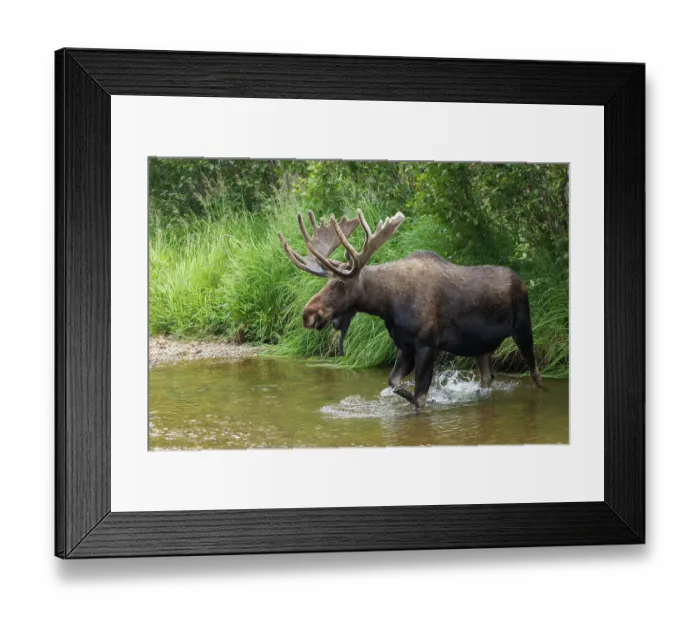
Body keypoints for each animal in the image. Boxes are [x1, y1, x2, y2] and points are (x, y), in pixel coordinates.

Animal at [278, 210, 544, 411]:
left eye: (340, 284)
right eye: (327, 282)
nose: (308, 314)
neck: (387, 305)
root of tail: (522, 282)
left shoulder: (427, 345)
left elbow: (419, 397)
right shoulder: (405, 346)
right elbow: (393, 382)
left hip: (523, 328)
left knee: (535, 373)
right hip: (480, 346)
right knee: (488, 378)